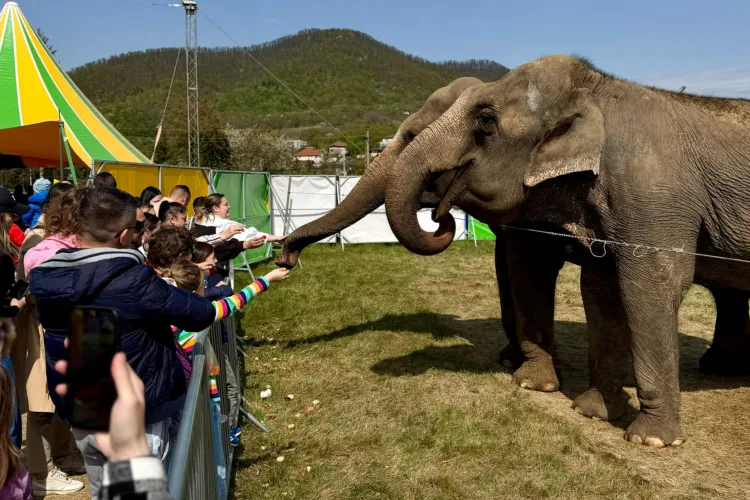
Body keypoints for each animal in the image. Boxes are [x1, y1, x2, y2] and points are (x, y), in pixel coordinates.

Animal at [384, 55, 750, 447]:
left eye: (486, 121)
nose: (439, 217)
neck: (599, 89)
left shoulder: (655, 199)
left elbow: (653, 284)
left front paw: (650, 441)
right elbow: (599, 287)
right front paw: (589, 410)